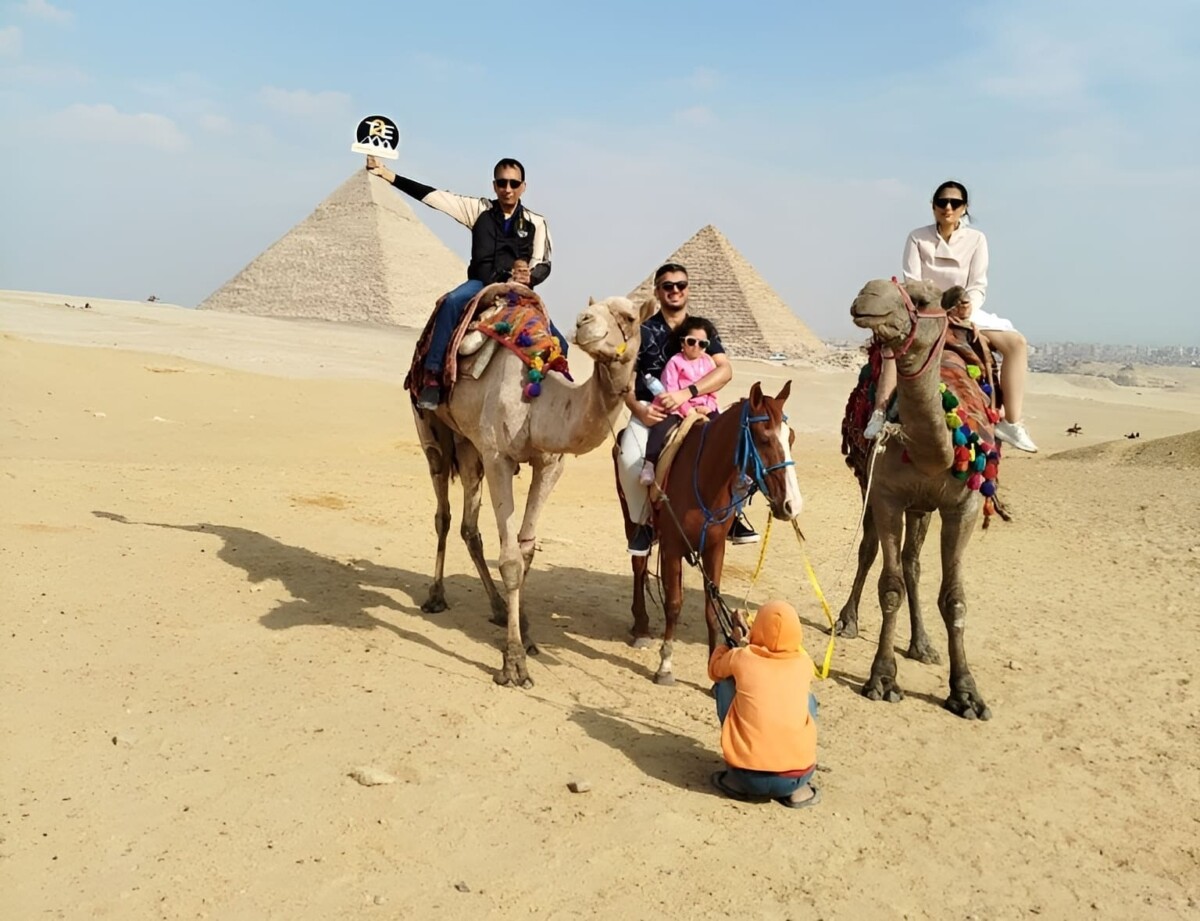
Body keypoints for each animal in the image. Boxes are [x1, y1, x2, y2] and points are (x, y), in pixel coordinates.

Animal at [412, 291, 643, 685]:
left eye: (630, 316)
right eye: (591, 310)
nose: (583, 322)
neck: (539, 404)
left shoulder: (550, 464)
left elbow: (527, 551)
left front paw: (526, 631)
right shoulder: (498, 457)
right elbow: (509, 560)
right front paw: (514, 663)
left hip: (468, 443)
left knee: (469, 527)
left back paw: (497, 606)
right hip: (432, 429)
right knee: (442, 512)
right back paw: (436, 596)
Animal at [614, 378, 801, 681]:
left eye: (791, 438)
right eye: (763, 439)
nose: (792, 504)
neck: (704, 478)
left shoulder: (715, 548)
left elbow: (711, 606)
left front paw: (715, 665)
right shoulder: (672, 547)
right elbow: (674, 603)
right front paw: (665, 664)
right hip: (631, 517)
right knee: (639, 564)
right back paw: (641, 626)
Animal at [840, 277, 988, 724]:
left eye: (922, 301)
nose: (866, 295)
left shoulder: (965, 506)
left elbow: (954, 597)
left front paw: (966, 693)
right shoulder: (887, 496)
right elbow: (889, 588)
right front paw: (882, 679)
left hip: (922, 507)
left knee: (913, 564)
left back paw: (922, 645)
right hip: (868, 483)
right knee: (870, 550)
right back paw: (847, 622)